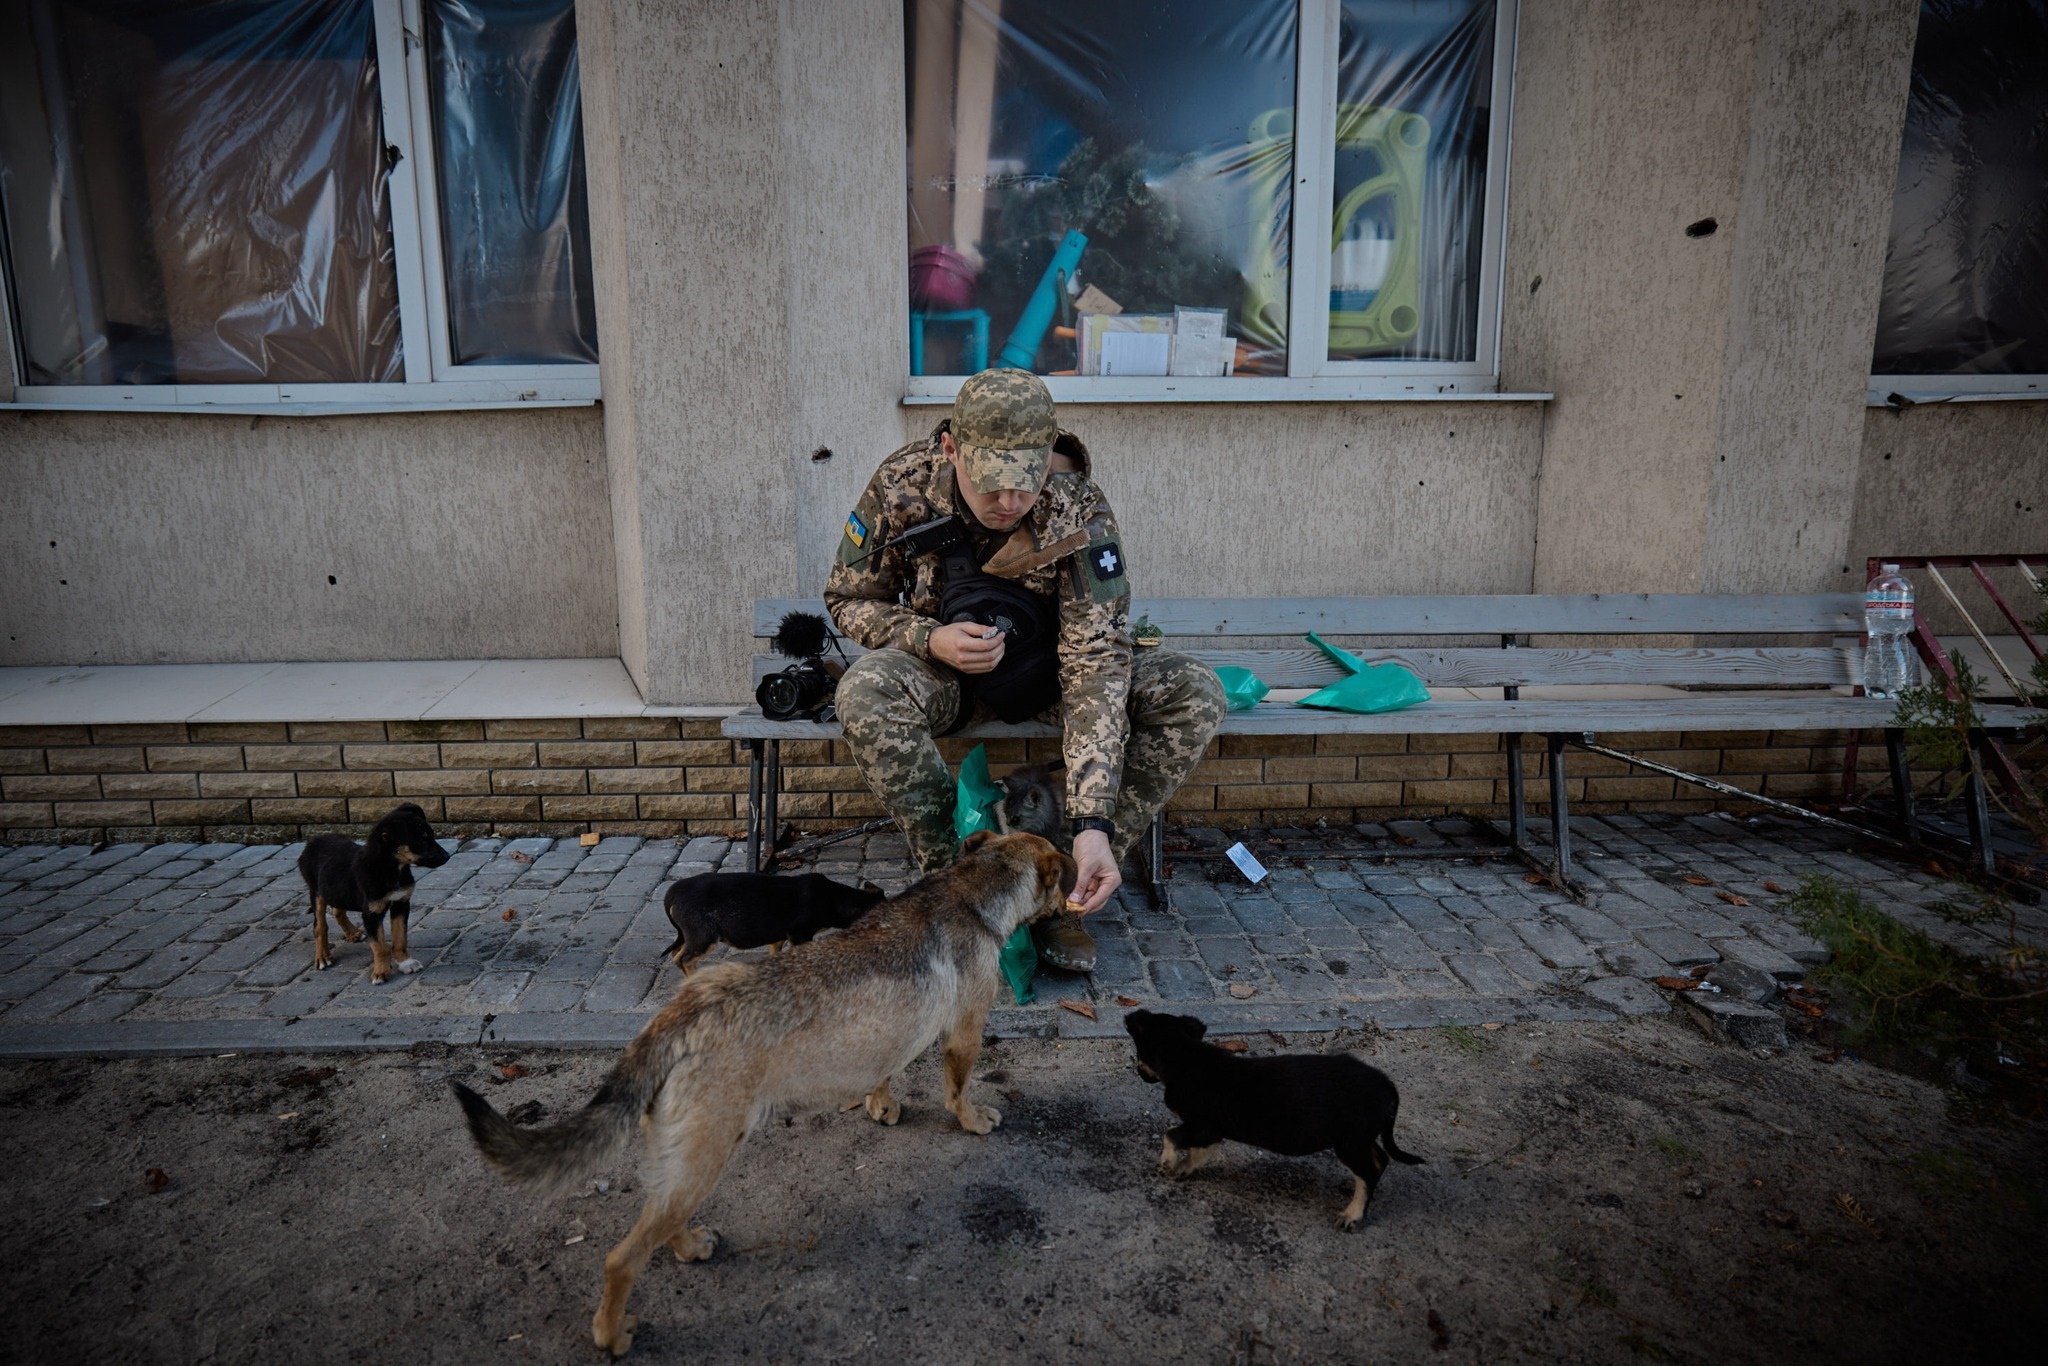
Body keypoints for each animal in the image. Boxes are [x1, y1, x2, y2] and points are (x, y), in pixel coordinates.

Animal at [296, 802, 448, 983]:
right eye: (422, 838)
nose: (447, 856)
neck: (390, 868)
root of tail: (312, 841)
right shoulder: (371, 914)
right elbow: (379, 946)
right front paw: (380, 972)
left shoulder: (401, 903)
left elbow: (400, 938)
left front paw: (405, 962)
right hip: (316, 892)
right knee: (319, 926)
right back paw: (322, 957)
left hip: (335, 889)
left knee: (337, 910)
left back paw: (352, 932)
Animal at [655, 876, 880, 970]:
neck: (834, 899)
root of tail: (670, 896)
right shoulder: (800, 934)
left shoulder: (779, 936)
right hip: (704, 935)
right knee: (683, 959)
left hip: (691, 935)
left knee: (676, 953)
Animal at [1122, 1003, 1425, 1228]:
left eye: (1139, 1055)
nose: (1139, 1073)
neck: (1186, 1054)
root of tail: (1387, 1086)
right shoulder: (1210, 1132)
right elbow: (1198, 1151)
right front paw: (1184, 1168)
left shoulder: (1203, 1125)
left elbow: (1171, 1135)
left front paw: (1167, 1162)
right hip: (1360, 1137)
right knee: (1380, 1160)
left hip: (1349, 1141)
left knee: (1370, 1171)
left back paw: (1353, 1214)